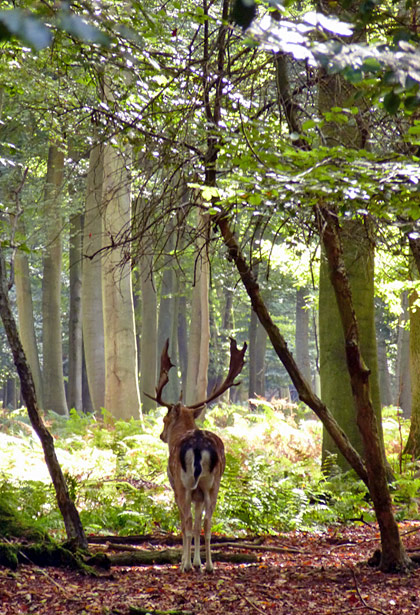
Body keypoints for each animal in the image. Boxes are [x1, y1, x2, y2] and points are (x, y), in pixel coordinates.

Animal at [148, 336, 246, 572]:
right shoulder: (199, 495)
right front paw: (197, 562)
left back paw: (186, 566)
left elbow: (186, 524)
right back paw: (210, 565)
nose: (161, 435)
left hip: (183, 483)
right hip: (213, 484)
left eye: (164, 419)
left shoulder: (176, 487)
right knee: (209, 521)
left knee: (188, 520)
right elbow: (199, 523)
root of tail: (200, 446)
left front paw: (187, 562)